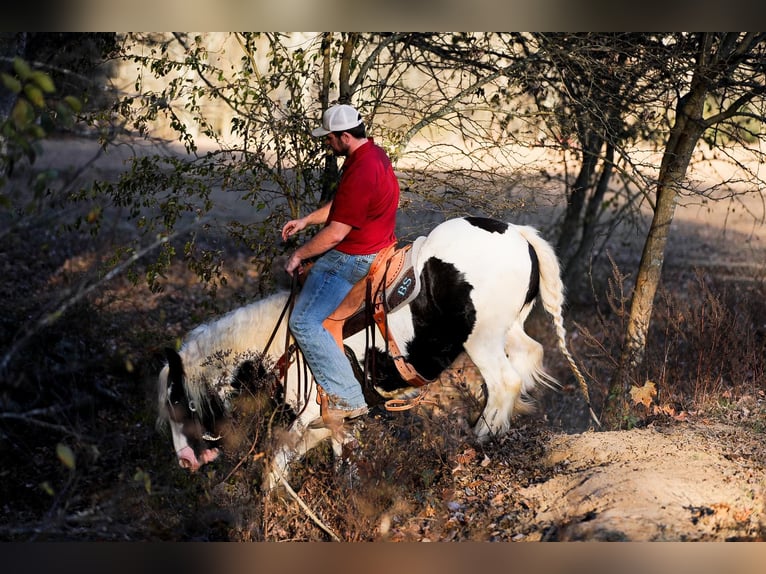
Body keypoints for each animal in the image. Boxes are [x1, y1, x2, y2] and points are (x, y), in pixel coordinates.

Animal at [154, 216, 588, 490]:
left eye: (175, 399)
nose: (185, 461)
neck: (282, 349)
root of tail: (516, 233)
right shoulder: (335, 420)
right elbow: (340, 458)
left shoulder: (311, 414)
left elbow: (278, 463)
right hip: (509, 330)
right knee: (530, 356)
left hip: (481, 338)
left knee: (505, 382)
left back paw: (483, 435)